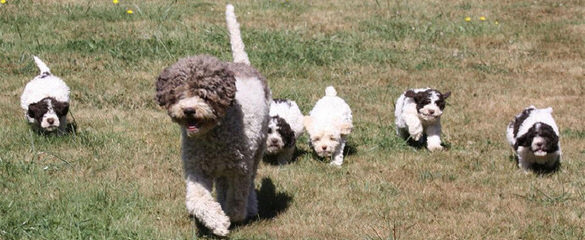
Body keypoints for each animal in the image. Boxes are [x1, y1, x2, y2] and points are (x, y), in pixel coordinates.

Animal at [154, 3, 270, 236]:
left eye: (204, 95)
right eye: (179, 94)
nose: (189, 110)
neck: (212, 135)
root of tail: (243, 65)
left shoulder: (239, 168)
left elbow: (237, 199)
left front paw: (232, 216)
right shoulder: (197, 168)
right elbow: (197, 200)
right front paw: (217, 222)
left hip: (256, 151)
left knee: (249, 183)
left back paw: (250, 208)